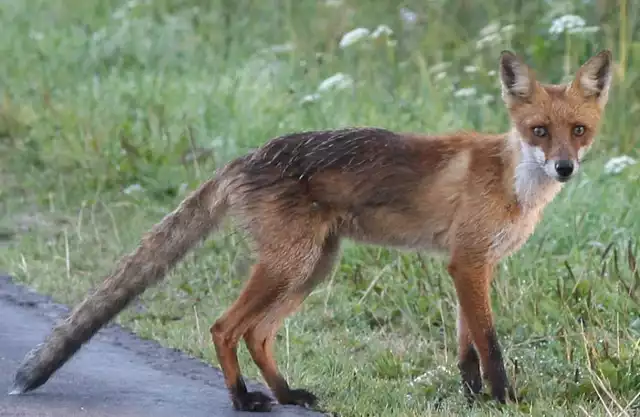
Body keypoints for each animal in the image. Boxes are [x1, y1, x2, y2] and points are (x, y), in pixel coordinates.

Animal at [7, 48, 612, 410]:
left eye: (579, 131)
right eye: (539, 131)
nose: (565, 167)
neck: (514, 182)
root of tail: (245, 156)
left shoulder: (470, 265)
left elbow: (467, 348)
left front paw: (475, 400)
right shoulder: (467, 264)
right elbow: (489, 344)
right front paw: (504, 400)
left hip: (315, 267)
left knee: (258, 333)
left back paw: (284, 393)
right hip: (291, 264)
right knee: (225, 328)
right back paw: (243, 399)